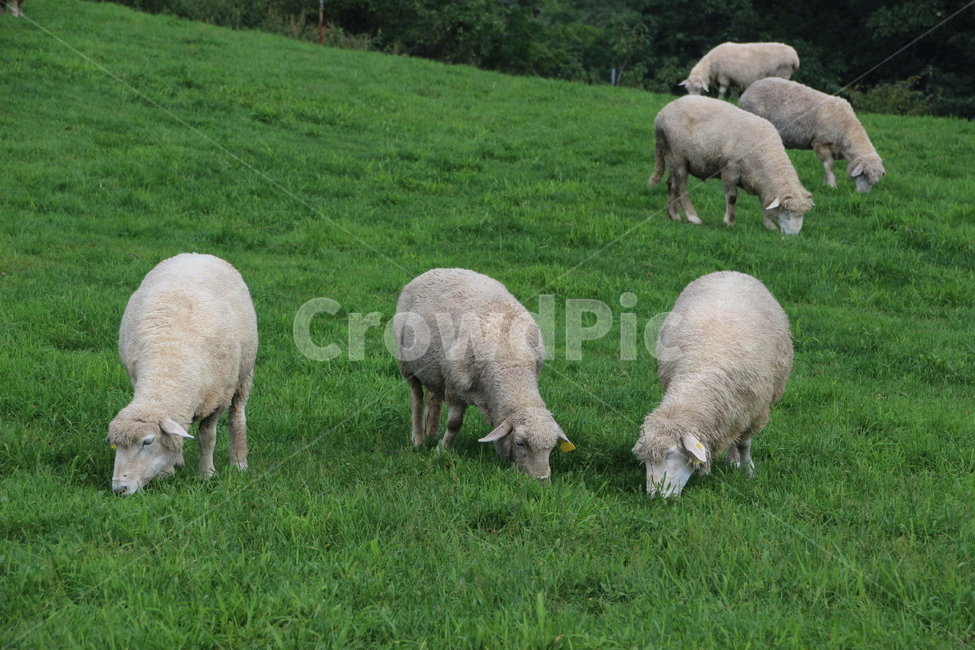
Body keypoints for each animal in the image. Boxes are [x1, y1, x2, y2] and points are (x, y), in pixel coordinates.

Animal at [107, 253, 258, 495]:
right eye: (115, 445)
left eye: (147, 442)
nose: (119, 489)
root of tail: (196, 254)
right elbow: (175, 438)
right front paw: (167, 472)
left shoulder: (217, 400)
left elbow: (207, 438)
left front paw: (207, 474)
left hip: (244, 375)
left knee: (237, 416)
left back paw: (238, 461)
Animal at [394, 268, 571, 480]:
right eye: (519, 443)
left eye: (551, 447)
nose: (542, 479)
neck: (511, 366)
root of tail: (438, 270)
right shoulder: (455, 388)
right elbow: (454, 424)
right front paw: (442, 452)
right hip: (406, 363)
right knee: (417, 397)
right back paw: (419, 439)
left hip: (435, 368)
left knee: (433, 396)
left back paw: (431, 433)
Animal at [632, 271, 793, 498]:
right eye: (646, 461)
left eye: (670, 454)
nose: (655, 496)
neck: (703, 371)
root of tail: (730, 271)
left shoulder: (753, 408)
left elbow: (745, 444)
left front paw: (748, 471)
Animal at [649, 95, 813, 235]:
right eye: (787, 211)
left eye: (803, 214)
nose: (793, 235)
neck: (765, 155)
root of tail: (661, 114)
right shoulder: (730, 170)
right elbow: (732, 197)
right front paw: (730, 222)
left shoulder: (759, 181)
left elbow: (763, 203)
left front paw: (769, 225)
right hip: (677, 156)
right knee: (681, 188)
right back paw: (693, 217)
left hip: (672, 158)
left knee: (672, 184)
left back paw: (674, 215)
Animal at [739, 77, 886, 192]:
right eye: (863, 175)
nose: (863, 194)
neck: (846, 127)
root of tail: (749, 90)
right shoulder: (821, 143)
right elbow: (828, 165)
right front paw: (832, 185)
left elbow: (830, 166)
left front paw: (826, 183)